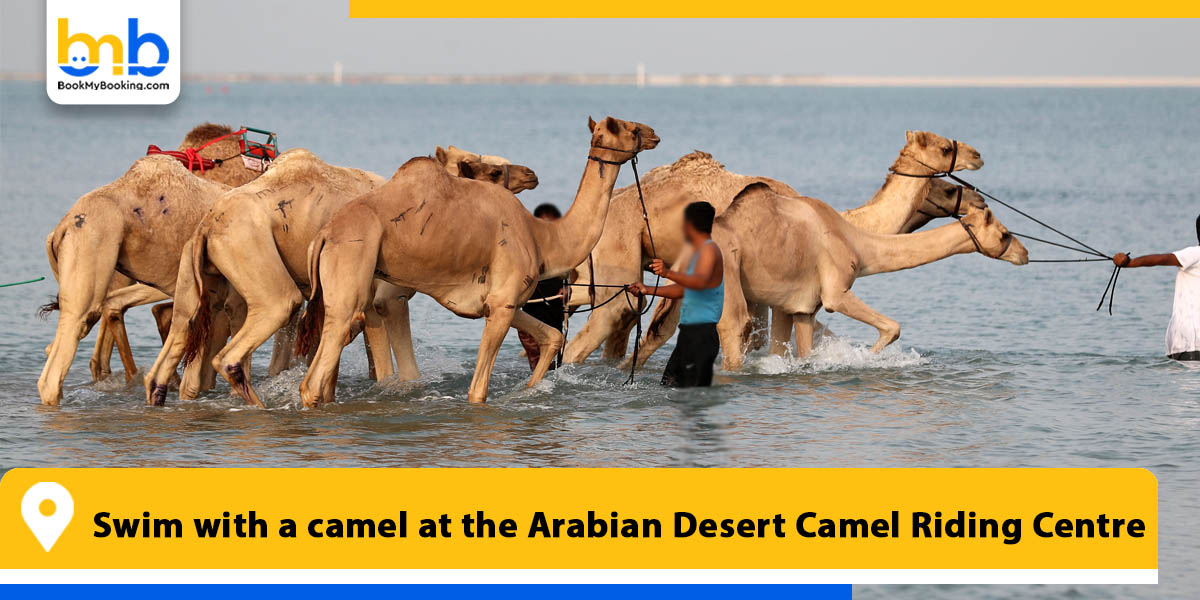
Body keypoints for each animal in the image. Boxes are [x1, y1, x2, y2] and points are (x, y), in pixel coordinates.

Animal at [142, 151, 539, 406]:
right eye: (488, 170)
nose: (531, 174)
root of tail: (208, 222)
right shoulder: (383, 298)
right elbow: (392, 369)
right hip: (253, 255)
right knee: (249, 336)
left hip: (198, 275)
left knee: (172, 349)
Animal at [298, 116, 659, 405]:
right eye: (630, 128)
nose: (654, 133)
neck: (542, 237)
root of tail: (324, 234)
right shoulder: (502, 304)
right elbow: (477, 391)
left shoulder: (504, 302)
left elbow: (552, 337)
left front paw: (527, 391)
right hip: (352, 271)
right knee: (316, 377)